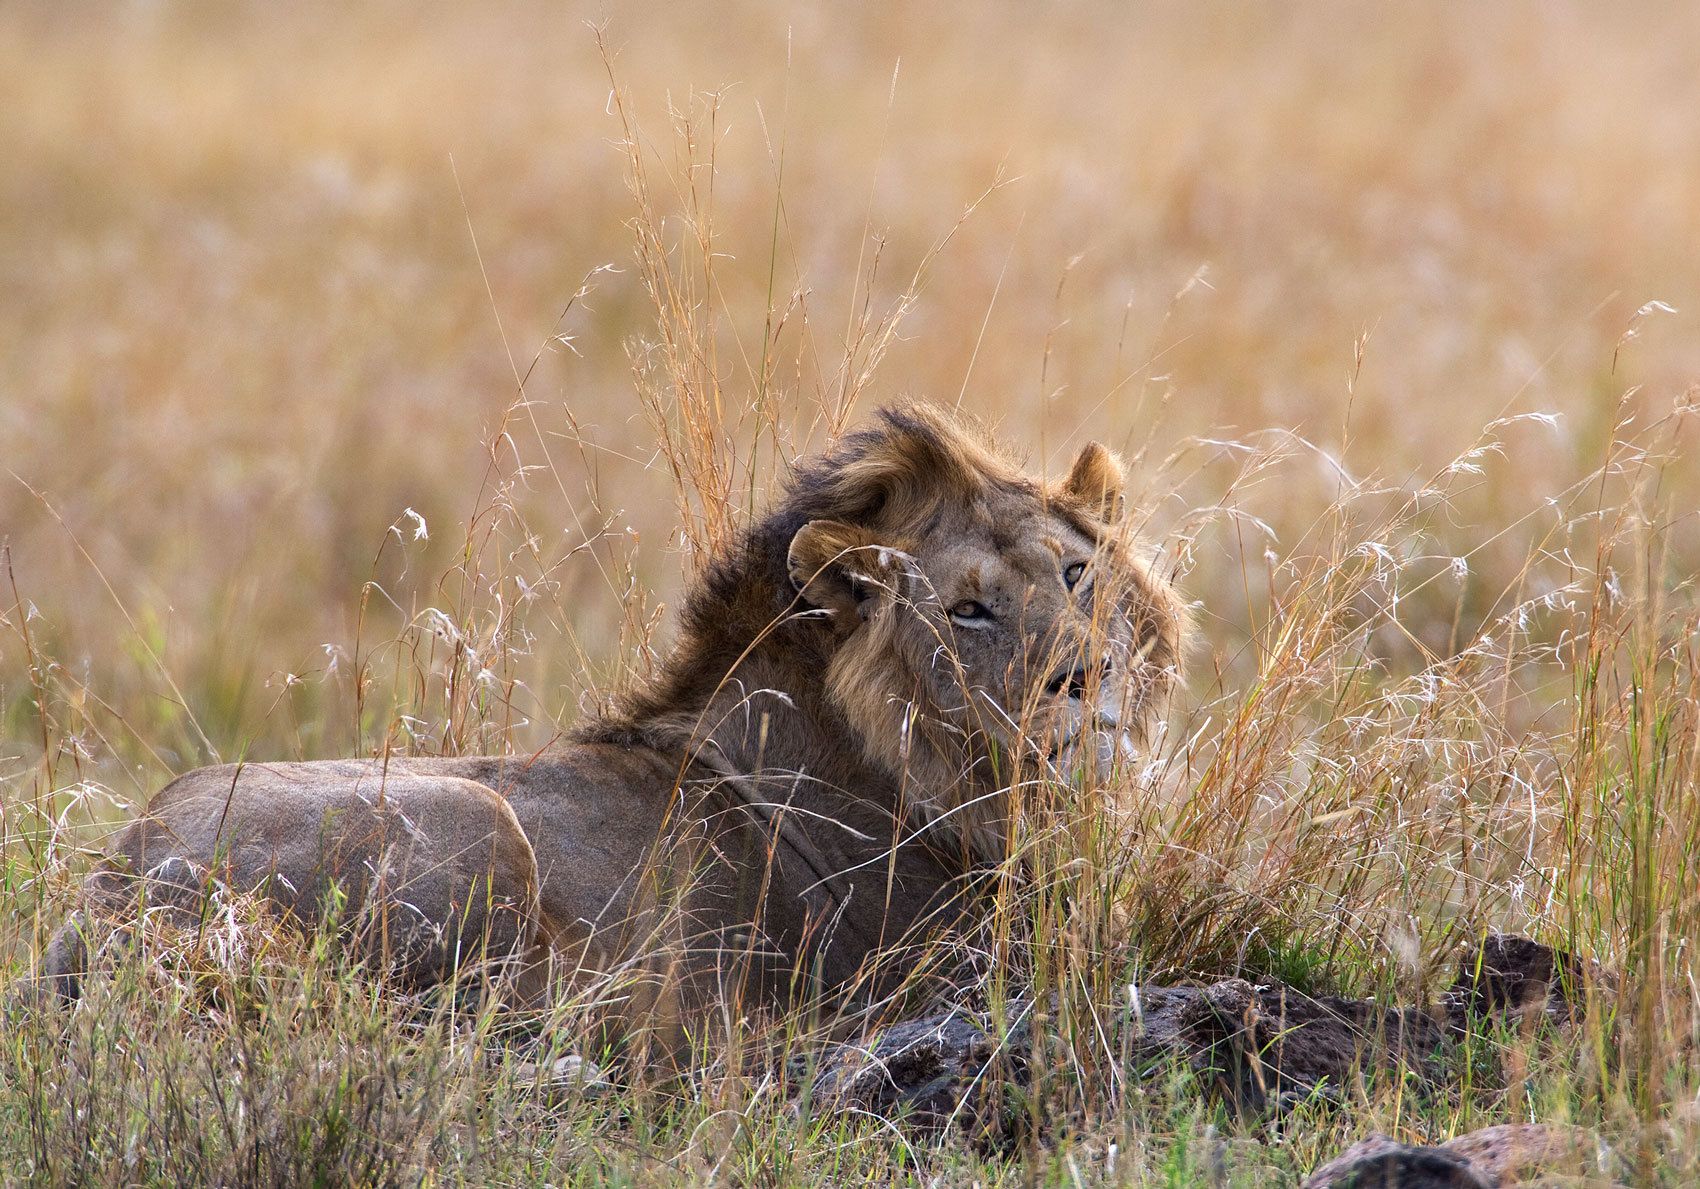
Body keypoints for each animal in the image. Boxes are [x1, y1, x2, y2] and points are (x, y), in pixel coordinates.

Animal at [32, 403, 1186, 1049]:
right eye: (968, 609)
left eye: (1075, 573)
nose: (1086, 677)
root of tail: (112, 887)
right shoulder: (949, 972)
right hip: (473, 821)